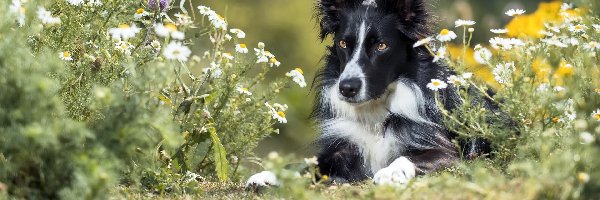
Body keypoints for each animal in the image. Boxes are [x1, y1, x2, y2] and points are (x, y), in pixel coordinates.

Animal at [246, 0, 500, 188]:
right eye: (343, 43)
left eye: (381, 46)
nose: (346, 88)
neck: (376, 113)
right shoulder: (343, 149)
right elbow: (310, 163)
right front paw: (270, 175)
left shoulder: (448, 153)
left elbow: (408, 157)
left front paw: (391, 172)